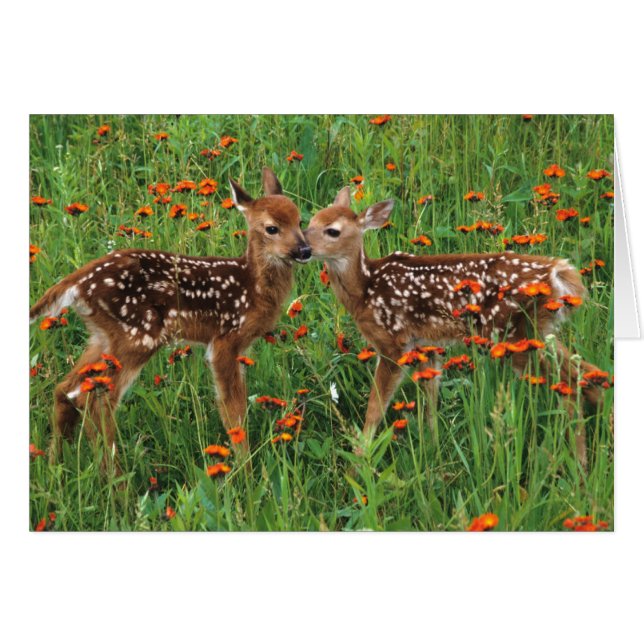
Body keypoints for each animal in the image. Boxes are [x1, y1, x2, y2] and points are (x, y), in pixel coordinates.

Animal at [30, 167, 312, 469]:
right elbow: (233, 411)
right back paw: (115, 478)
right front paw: (245, 468)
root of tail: (79, 282)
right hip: (138, 334)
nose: (305, 251)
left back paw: (56, 465)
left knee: (65, 389)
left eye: (299, 221)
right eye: (272, 228)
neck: (253, 287)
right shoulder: (225, 340)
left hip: (102, 337)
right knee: (96, 401)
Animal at [304, 187, 607, 467]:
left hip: (512, 335)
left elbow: (375, 408)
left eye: (332, 231)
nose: (303, 249)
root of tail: (558, 274)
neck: (364, 290)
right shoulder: (425, 345)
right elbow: (430, 401)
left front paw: (360, 462)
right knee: (589, 375)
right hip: (539, 331)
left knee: (570, 385)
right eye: (309, 223)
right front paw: (434, 450)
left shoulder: (393, 343)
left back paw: (579, 465)